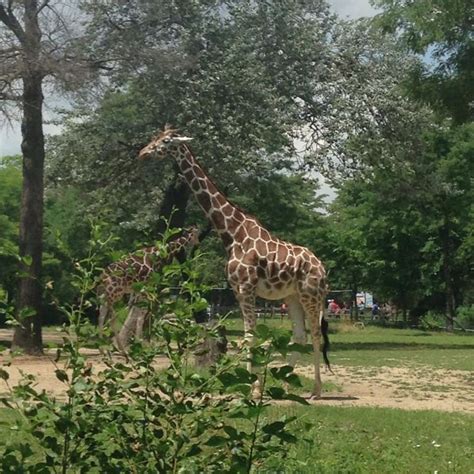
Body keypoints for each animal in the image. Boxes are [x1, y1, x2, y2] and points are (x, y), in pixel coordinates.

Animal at [137, 129, 330, 396]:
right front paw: (252, 386)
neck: (231, 232)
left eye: (165, 142)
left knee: (316, 334)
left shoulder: (247, 286)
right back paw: (285, 382)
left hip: (311, 294)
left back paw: (316, 390)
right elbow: (248, 336)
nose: (142, 152)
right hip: (292, 296)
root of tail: (322, 268)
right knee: (300, 335)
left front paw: (254, 388)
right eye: (155, 138)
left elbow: (250, 335)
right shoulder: (237, 289)